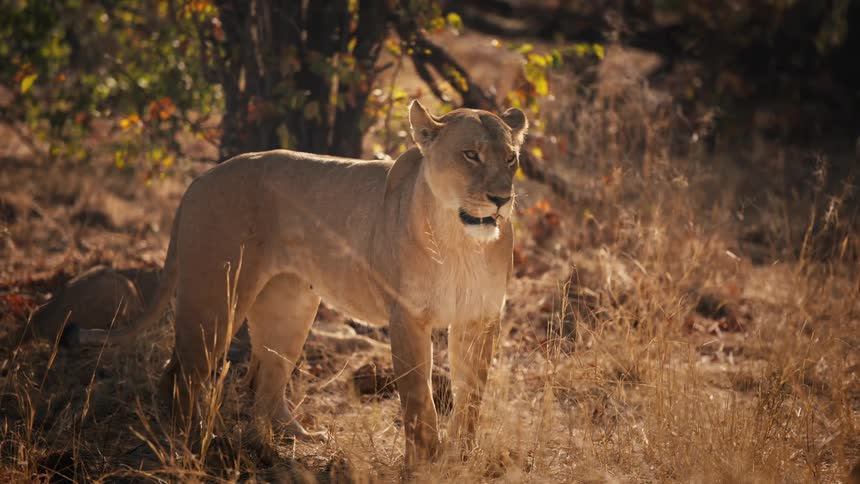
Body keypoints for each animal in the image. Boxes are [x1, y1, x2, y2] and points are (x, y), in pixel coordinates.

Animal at [79, 100, 527, 465]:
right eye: (470, 155)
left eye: (511, 159)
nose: (501, 198)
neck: (460, 243)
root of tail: (198, 181)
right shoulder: (408, 317)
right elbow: (419, 396)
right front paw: (424, 460)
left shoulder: (480, 318)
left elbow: (471, 393)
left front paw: (461, 455)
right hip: (214, 300)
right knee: (181, 374)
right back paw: (189, 446)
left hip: (289, 305)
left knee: (264, 380)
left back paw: (285, 443)